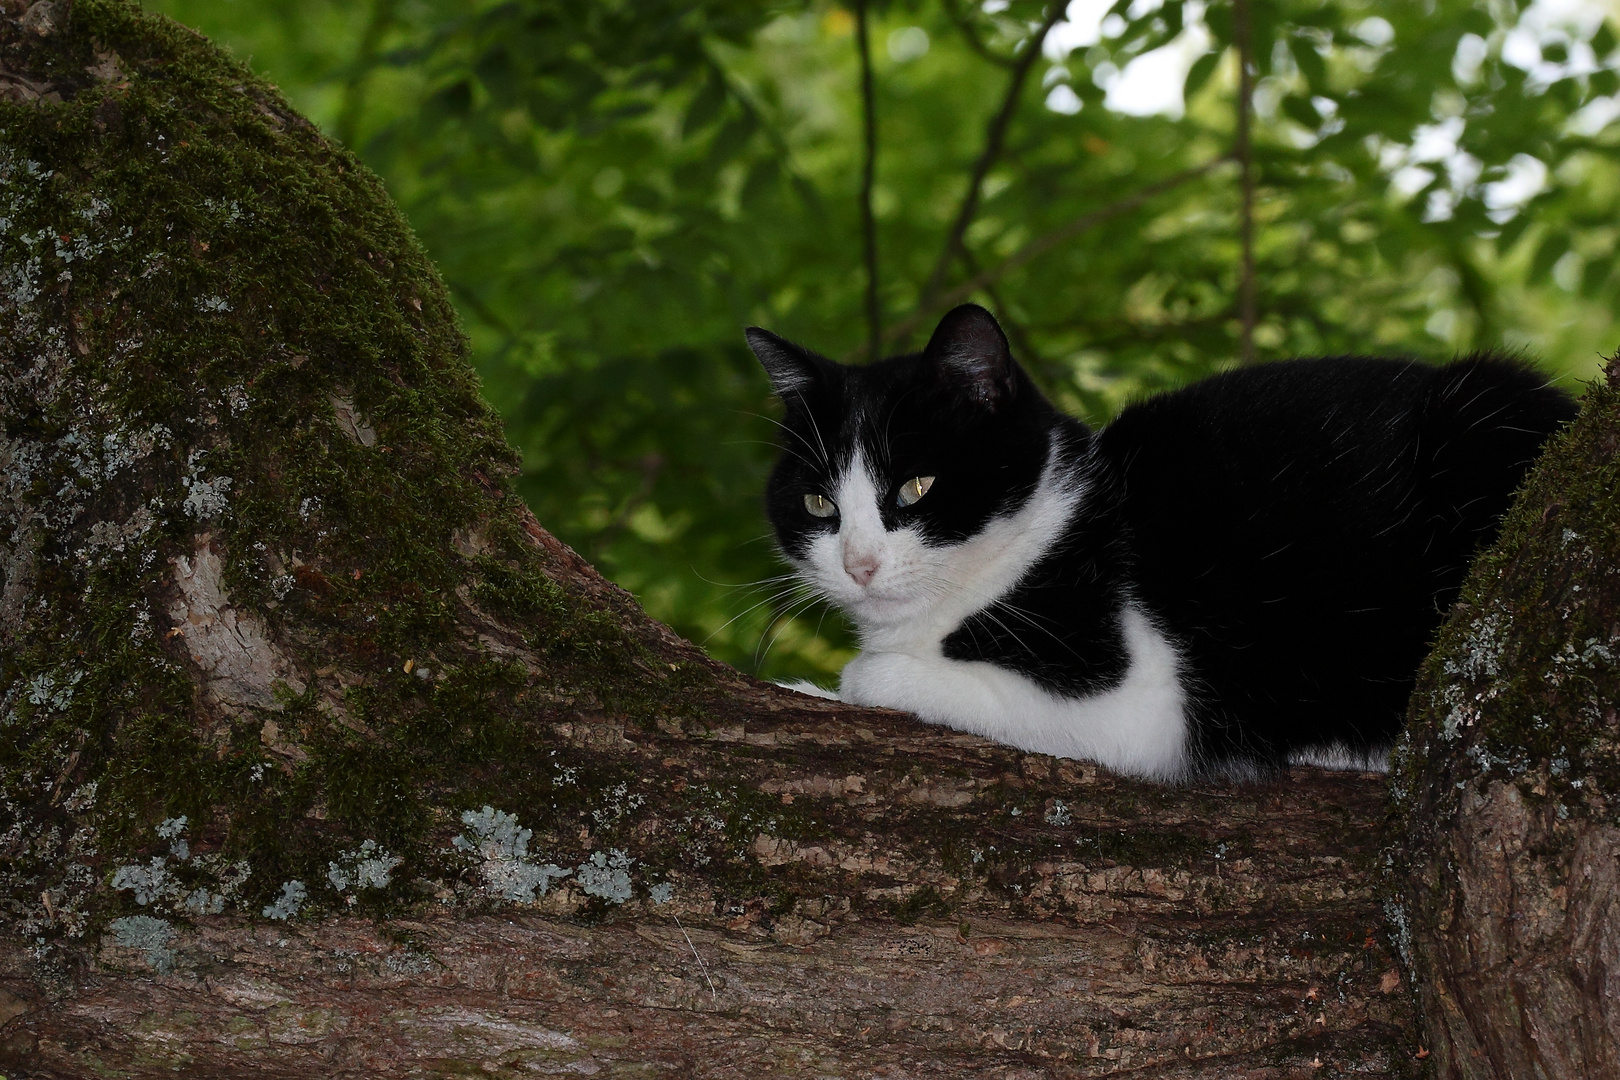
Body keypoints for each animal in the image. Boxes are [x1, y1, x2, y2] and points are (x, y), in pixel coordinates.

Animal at [751, 299, 1574, 780]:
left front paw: (860, 675)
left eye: (916, 489)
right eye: (820, 502)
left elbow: (881, 675)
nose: (860, 564)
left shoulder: (1143, 698)